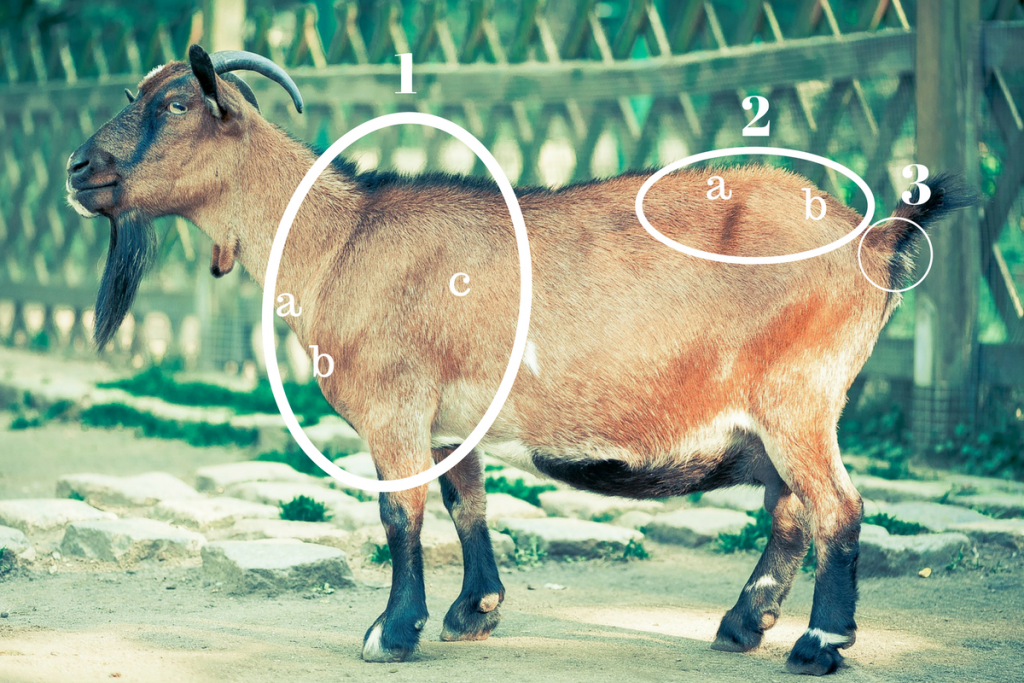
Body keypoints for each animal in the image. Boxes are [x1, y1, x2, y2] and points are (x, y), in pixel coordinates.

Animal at [67, 45, 971, 675]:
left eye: (175, 102)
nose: (79, 168)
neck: (337, 238)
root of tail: (873, 235)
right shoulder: (446, 417)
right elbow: (466, 503)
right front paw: (475, 610)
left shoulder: (394, 406)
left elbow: (401, 513)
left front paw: (391, 631)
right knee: (789, 509)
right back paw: (741, 625)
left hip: (799, 394)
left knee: (837, 508)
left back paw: (818, 643)